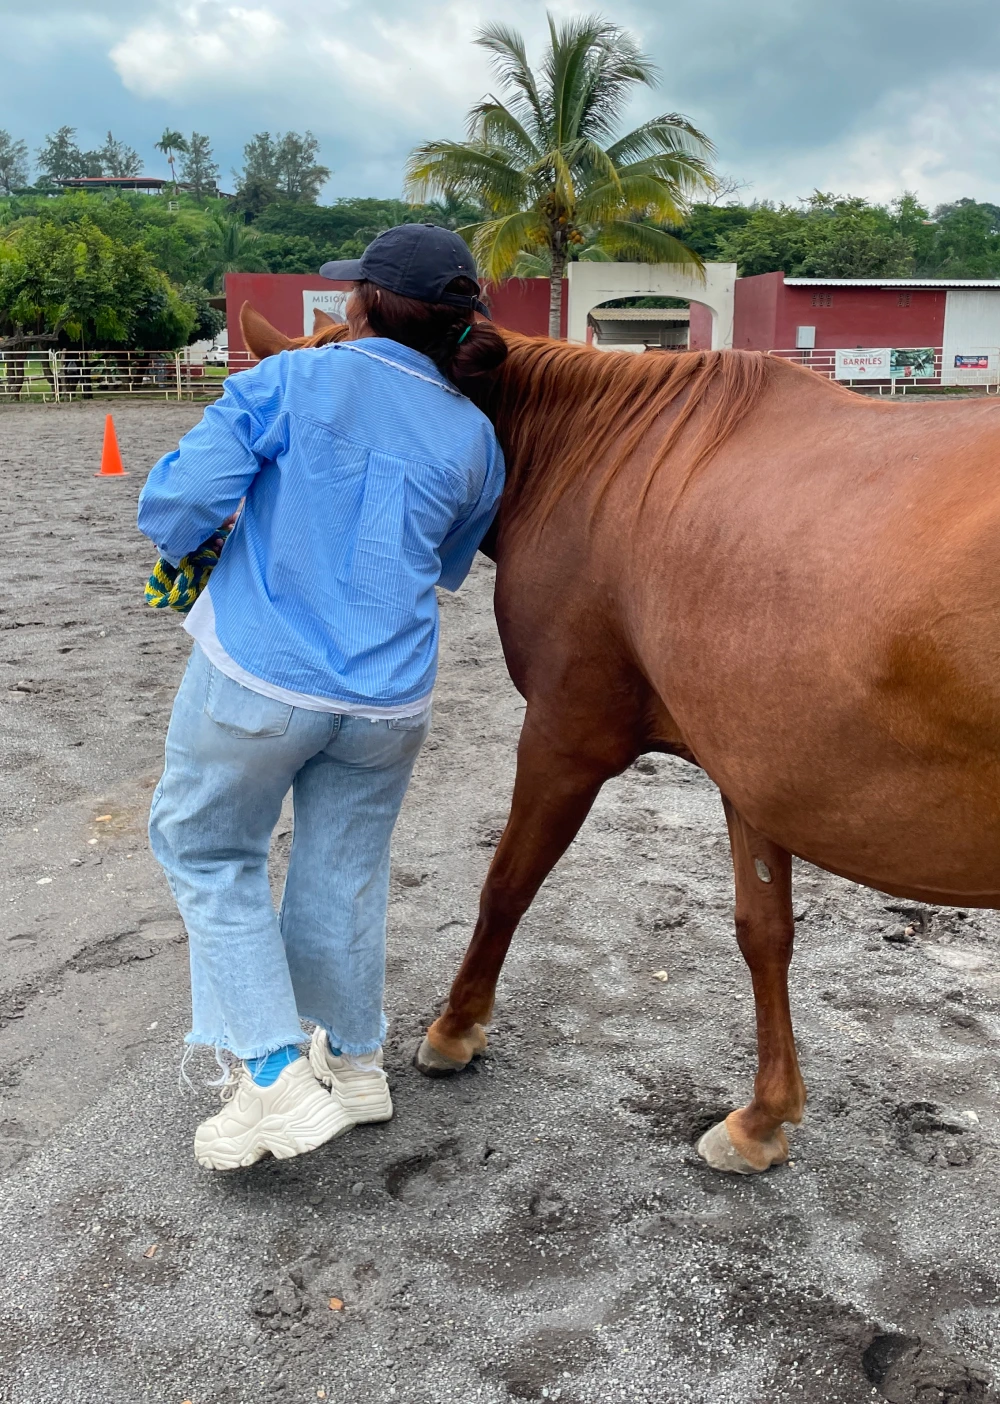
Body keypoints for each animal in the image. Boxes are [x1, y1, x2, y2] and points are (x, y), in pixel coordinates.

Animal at [240, 304, 1000, 1173]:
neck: (604, 463)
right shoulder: (751, 774)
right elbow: (764, 933)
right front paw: (762, 1119)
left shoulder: (566, 737)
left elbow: (508, 883)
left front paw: (456, 1030)